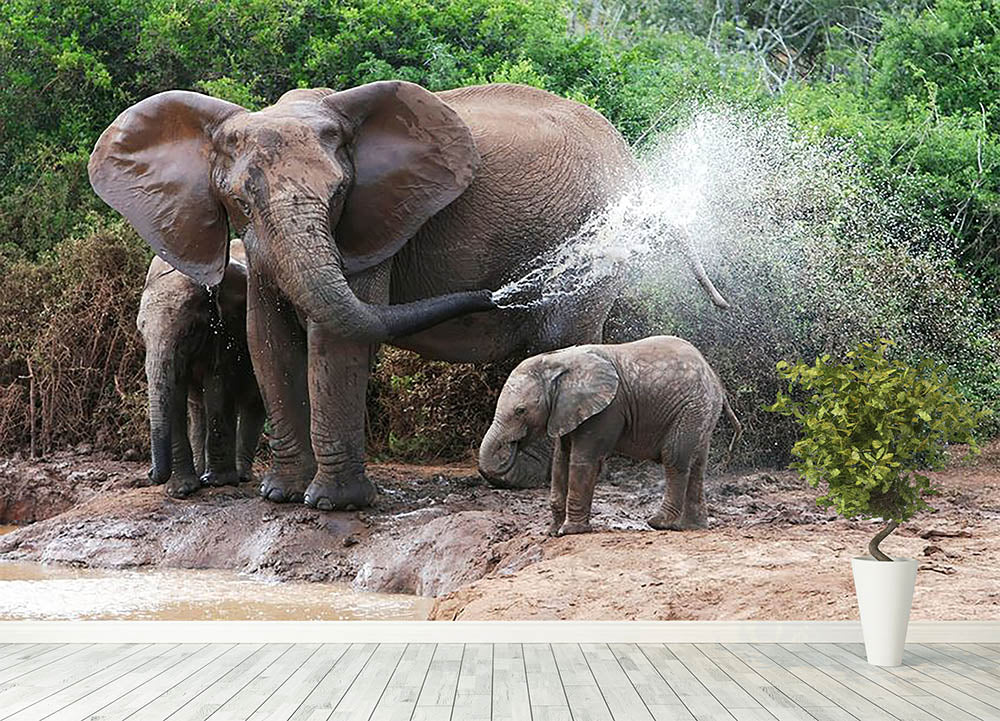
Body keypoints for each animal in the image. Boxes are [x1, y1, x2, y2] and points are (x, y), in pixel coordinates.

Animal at [138, 238, 265, 498]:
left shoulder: (227, 327)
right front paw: (181, 491)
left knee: (253, 403)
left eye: (190, 330)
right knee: (198, 409)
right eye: (141, 332)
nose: (150, 473)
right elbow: (176, 392)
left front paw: (218, 482)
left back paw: (240, 476)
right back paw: (201, 472)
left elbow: (217, 383)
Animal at [478, 335, 742, 535]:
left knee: (675, 458)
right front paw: (552, 532)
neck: (557, 360)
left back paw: (659, 523)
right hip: (701, 411)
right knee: (697, 464)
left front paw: (570, 531)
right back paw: (692, 526)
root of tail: (715, 378)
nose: (512, 447)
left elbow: (583, 460)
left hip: (691, 407)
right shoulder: (567, 411)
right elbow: (560, 461)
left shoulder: (606, 409)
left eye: (520, 411)